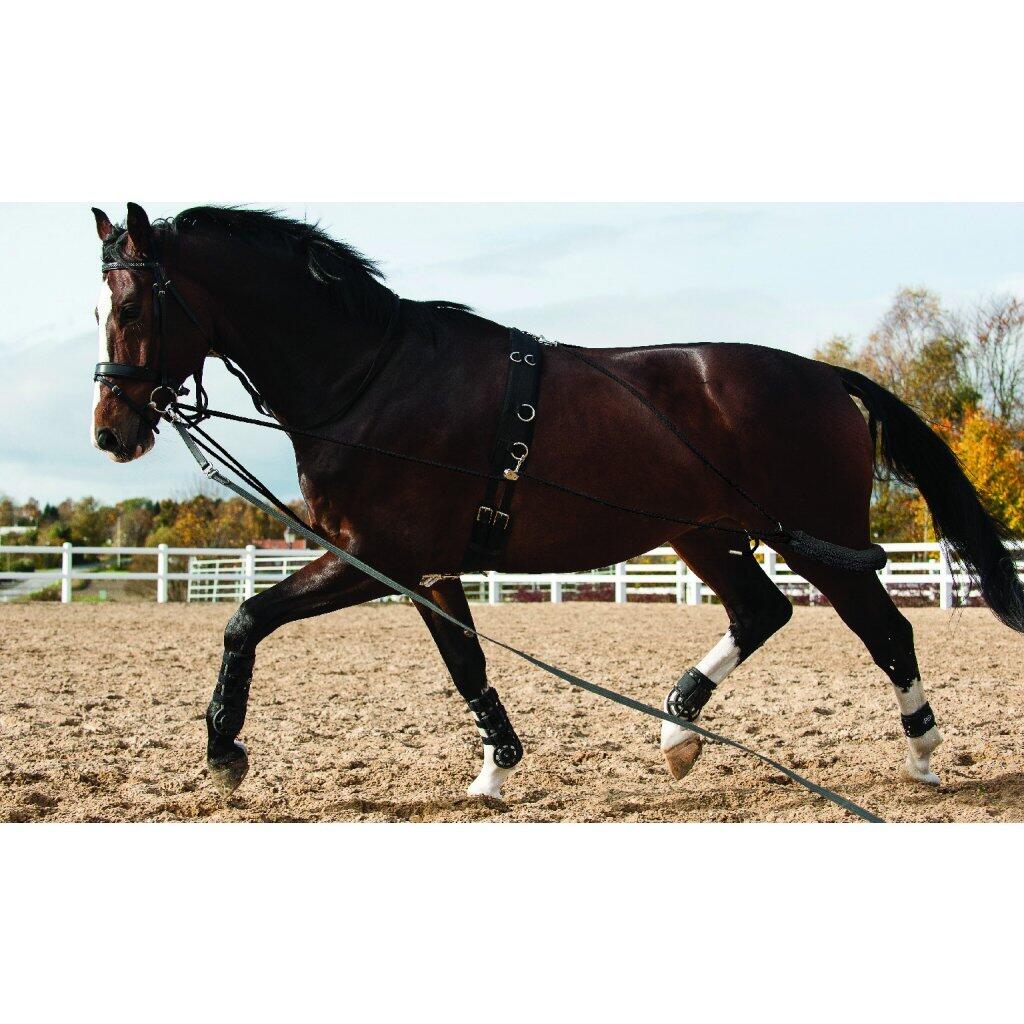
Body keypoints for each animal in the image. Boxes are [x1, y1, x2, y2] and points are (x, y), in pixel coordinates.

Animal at [89, 202, 1024, 803]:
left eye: (132, 303)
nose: (111, 430)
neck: (372, 377)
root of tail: (823, 373)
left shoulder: (380, 557)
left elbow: (245, 617)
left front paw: (223, 750)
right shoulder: (427, 569)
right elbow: (466, 664)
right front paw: (497, 765)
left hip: (812, 535)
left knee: (887, 630)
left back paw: (924, 750)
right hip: (707, 533)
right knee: (762, 611)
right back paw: (678, 729)